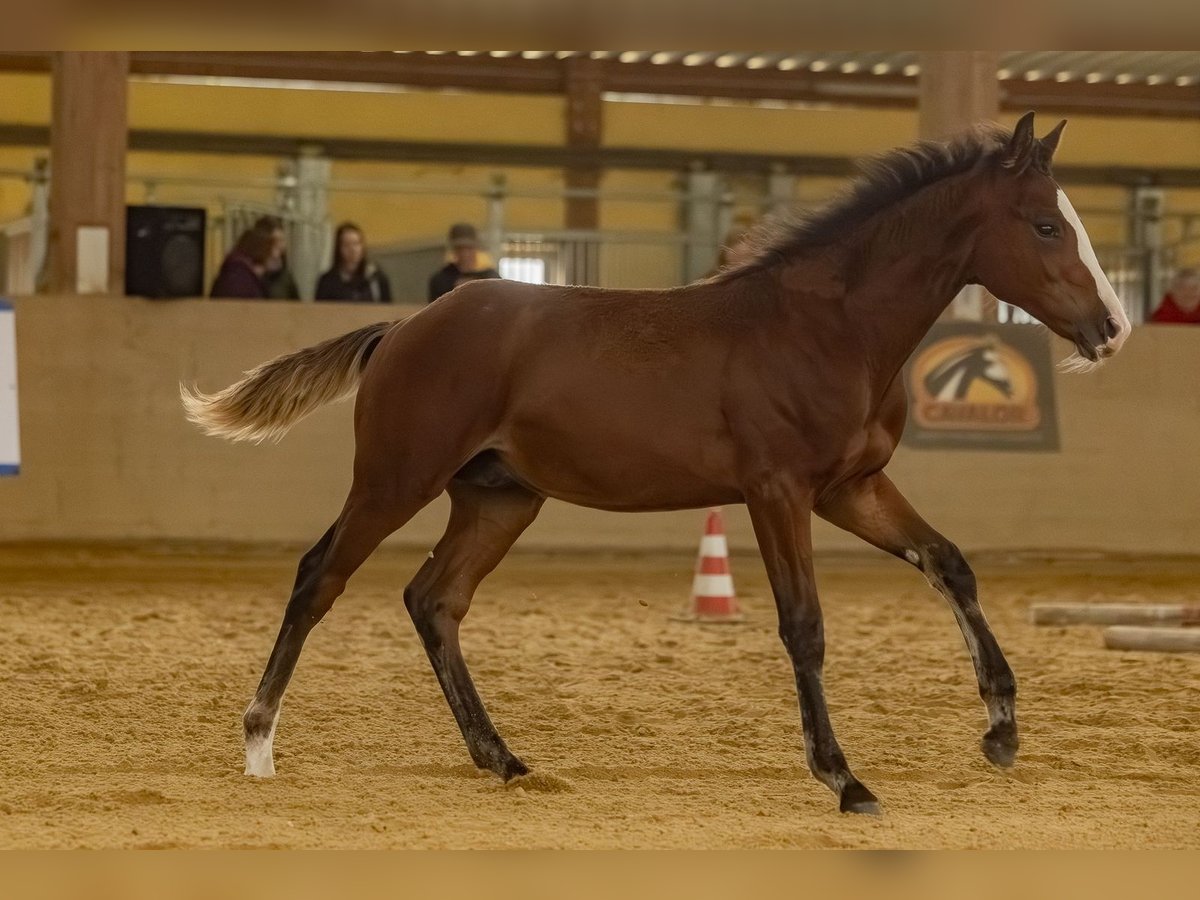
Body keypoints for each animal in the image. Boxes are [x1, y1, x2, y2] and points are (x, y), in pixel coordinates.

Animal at [182, 112, 1129, 815]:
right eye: (1047, 224)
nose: (1112, 328)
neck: (830, 328)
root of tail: (404, 326)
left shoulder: (851, 489)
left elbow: (949, 564)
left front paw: (1001, 729)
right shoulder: (777, 491)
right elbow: (805, 624)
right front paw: (844, 777)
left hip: (499, 499)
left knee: (435, 600)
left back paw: (502, 757)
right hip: (396, 477)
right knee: (321, 577)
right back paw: (260, 744)